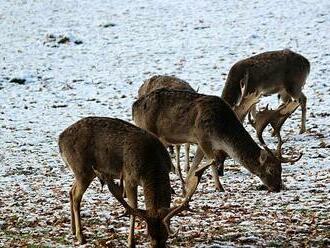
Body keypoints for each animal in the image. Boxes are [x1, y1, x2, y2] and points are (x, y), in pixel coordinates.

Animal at [58, 116, 209, 248]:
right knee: (76, 196)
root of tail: (60, 140)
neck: (152, 162)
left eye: (165, 236)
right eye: (149, 236)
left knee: (71, 191)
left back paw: (72, 230)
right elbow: (133, 207)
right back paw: (81, 236)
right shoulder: (129, 177)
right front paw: (131, 242)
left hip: (82, 173)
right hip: (83, 169)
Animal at [132, 89, 302, 194]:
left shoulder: (201, 142)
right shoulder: (202, 136)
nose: (278, 187)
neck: (221, 134)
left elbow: (197, 163)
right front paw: (217, 187)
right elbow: (212, 161)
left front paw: (187, 186)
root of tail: (134, 106)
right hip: (149, 129)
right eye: (271, 170)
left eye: (281, 169)